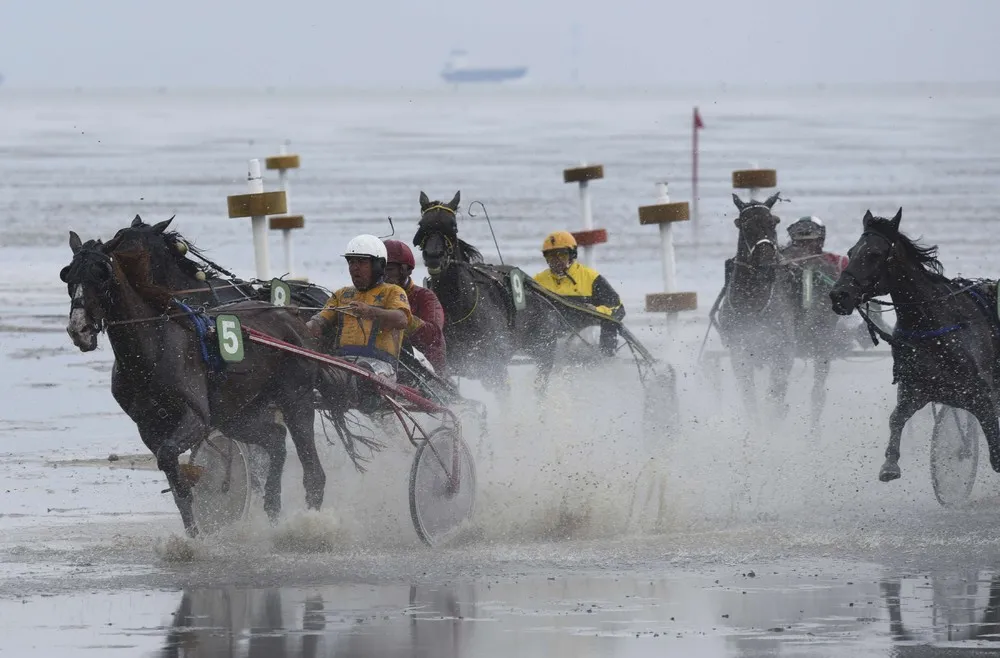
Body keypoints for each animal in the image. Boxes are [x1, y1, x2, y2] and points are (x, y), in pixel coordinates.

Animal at [59, 218, 328, 536]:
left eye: (101, 274)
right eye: (68, 275)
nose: (79, 329)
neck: (152, 346)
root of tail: (291, 316)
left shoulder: (197, 418)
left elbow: (172, 458)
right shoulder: (148, 426)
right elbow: (175, 481)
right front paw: (193, 536)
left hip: (295, 399)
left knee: (312, 470)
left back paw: (310, 525)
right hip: (238, 414)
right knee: (275, 439)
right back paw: (272, 509)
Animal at [408, 190, 564, 394]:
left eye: (453, 226)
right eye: (422, 224)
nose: (434, 256)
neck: (457, 308)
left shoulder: (496, 368)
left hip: (544, 350)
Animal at [720, 192, 796, 422]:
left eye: (774, 222)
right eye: (745, 225)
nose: (767, 264)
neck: (752, 304)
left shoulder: (783, 351)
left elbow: (776, 393)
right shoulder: (739, 351)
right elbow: (749, 398)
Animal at [828, 208, 1000, 480]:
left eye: (874, 254)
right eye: (850, 252)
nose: (838, 295)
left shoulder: (983, 394)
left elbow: (995, 448)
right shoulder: (916, 390)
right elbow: (896, 418)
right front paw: (889, 465)